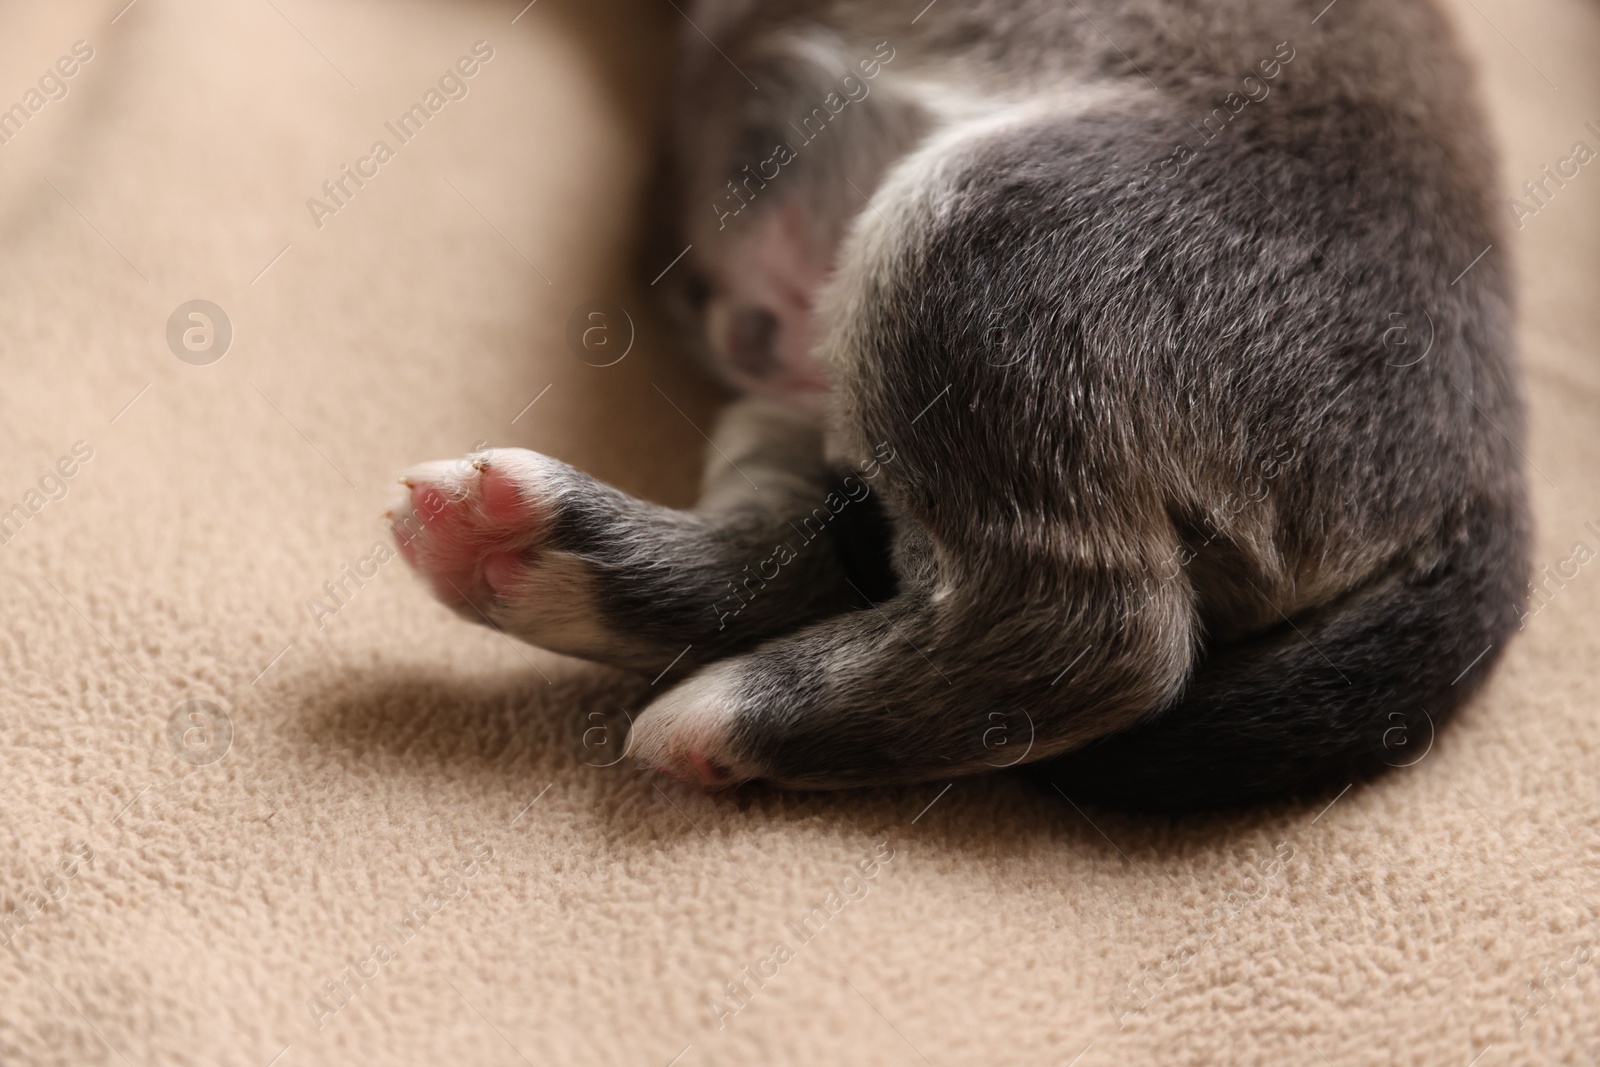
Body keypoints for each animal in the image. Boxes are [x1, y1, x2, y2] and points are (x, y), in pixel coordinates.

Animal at [387, 0, 1523, 806]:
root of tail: (1488, 484)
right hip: (814, 382)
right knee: (799, 551)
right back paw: (532, 554)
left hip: (983, 234)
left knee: (1094, 629)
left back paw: (729, 710)